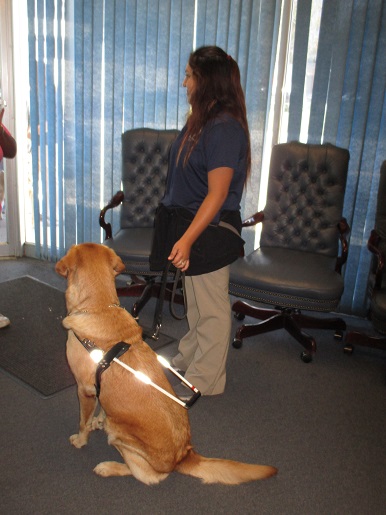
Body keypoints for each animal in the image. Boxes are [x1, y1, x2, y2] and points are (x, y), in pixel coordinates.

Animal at [55, 244, 276, 486]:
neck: (99, 306)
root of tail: (184, 455)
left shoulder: (84, 390)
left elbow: (83, 422)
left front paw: (80, 440)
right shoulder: (99, 389)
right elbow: (103, 408)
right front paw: (99, 420)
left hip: (120, 435)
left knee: (147, 476)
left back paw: (109, 466)